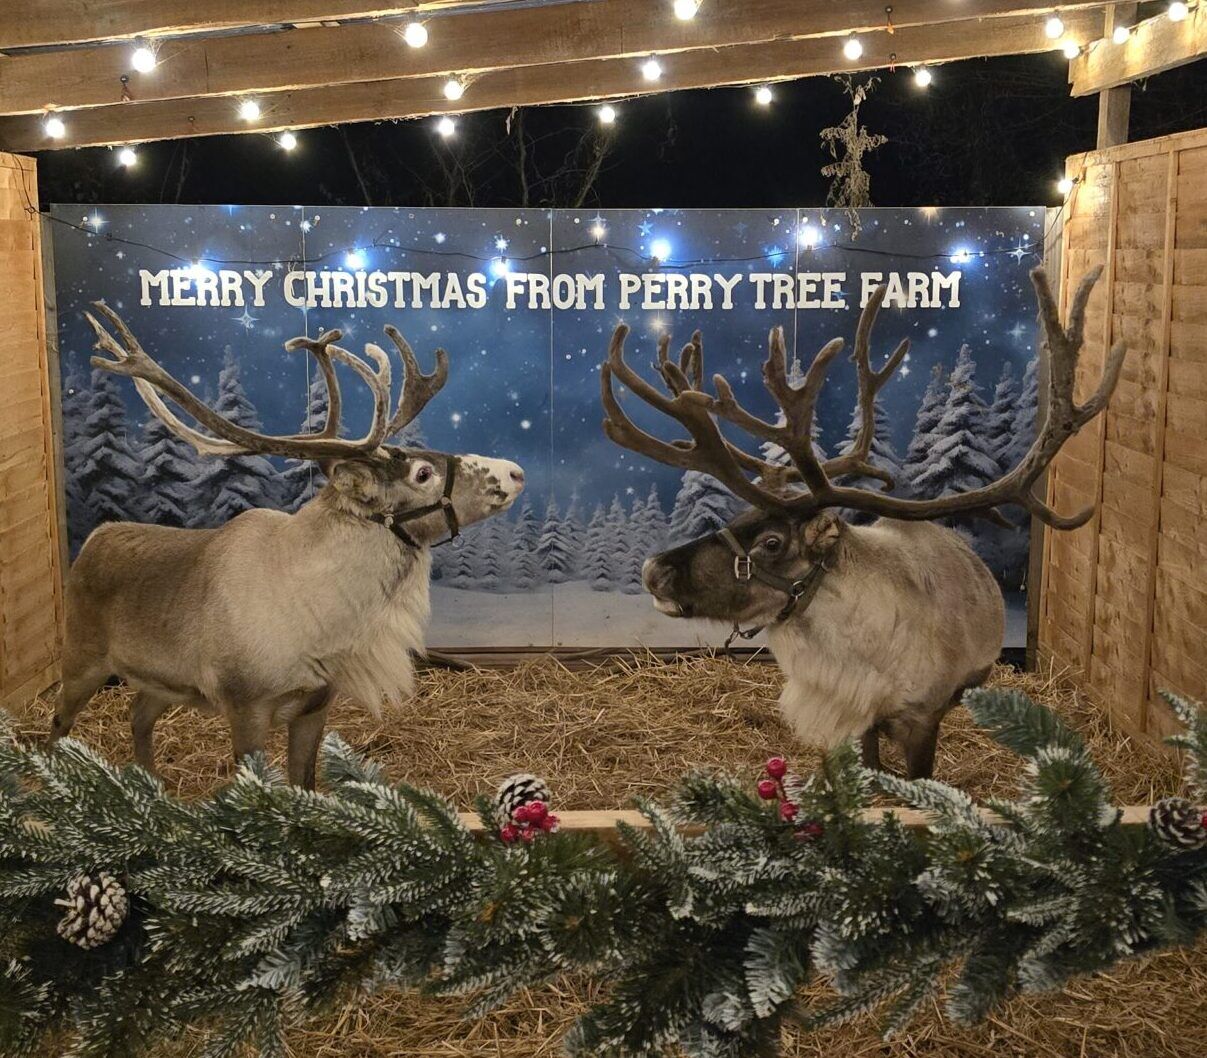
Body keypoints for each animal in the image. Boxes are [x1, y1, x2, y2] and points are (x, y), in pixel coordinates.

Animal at [48, 303, 525, 788]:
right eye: (422, 473)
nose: (515, 471)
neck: (326, 619)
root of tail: (93, 539)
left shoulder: (316, 705)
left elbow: (305, 783)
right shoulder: (245, 708)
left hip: (159, 680)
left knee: (138, 714)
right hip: (82, 658)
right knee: (59, 720)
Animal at [601, 266, 1123, 779]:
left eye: (772, 542)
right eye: (741, 514)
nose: (654, 569)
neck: (857, 663)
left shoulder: (922, 718)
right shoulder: (857, 717)